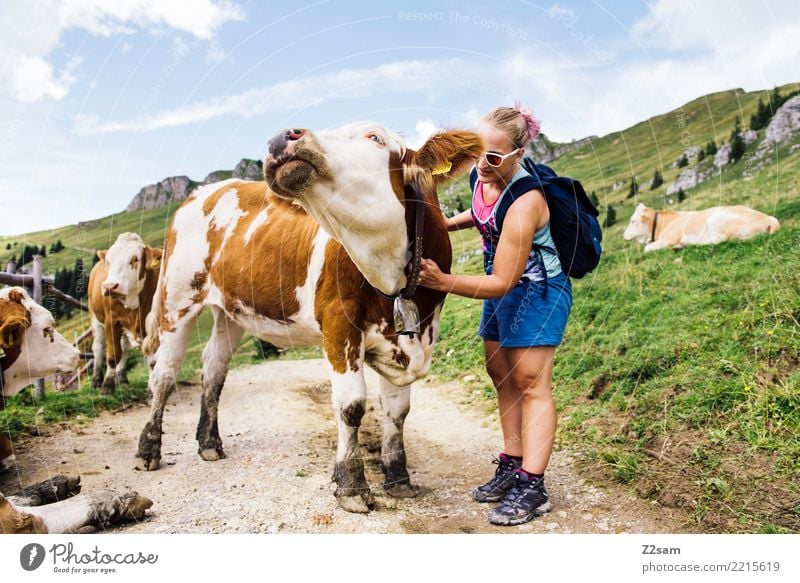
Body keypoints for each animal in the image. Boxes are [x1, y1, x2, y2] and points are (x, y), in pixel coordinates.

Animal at [88, 233, 162, 392]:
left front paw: (152, 386)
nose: (110, 286)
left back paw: (122, 378)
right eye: (109, 261)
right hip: (95, 317)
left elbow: (152, 358)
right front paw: (107, 385)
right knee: (98, 348)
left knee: (125, 348)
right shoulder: (111, 321)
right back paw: (96, 380)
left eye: (135, 259)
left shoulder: (153, 324)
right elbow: (113, 355)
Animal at [138, 122, 482, 512]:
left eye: (375, 138)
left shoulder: (411, 339)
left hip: (231, 310)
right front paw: (351, 484)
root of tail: (204, 192)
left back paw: (209, 443)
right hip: (178, 295)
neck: (396, 283)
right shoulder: (339, 324)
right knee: (164, 374)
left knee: (213, 370)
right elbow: (351, 406)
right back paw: (150, 449)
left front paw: (398, 478)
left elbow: (397, 411)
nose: (285, 135)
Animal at [620, 203, 780, 251]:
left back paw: (686, 243)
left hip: (717, 219)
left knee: (719, 240)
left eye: (632, 221)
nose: (623, 235)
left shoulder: (668, 239)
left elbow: (647, 249)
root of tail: (771, 220)